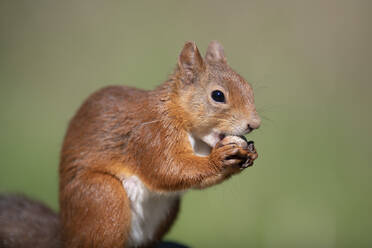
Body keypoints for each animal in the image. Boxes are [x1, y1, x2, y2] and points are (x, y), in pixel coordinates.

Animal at [0, 39, 260, 247]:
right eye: (218, 95)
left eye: (249, 87)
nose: (254, 123)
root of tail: (66, 235)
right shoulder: (150, 136)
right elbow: (167, 169)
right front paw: (219, 159)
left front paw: (248, 155)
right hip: (103, 199)